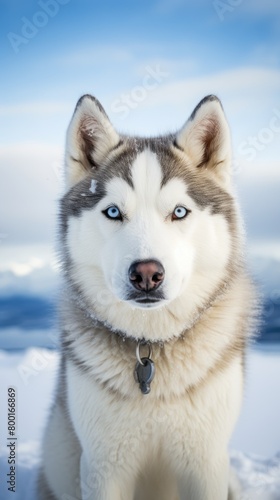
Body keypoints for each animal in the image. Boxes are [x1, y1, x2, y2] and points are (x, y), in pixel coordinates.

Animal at [38, 94, 255, 500]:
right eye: (113, 212)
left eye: (180, 212)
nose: (146, 275)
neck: (151, 346)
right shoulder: (104, 466)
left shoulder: (205, 463)